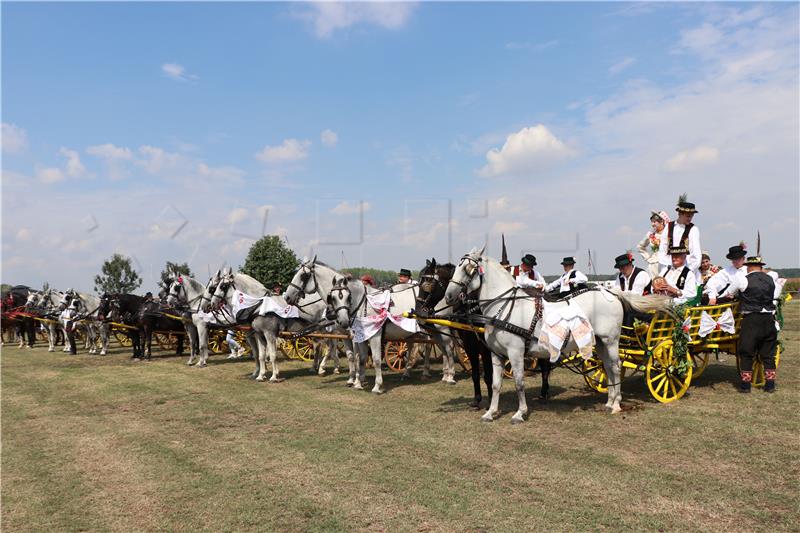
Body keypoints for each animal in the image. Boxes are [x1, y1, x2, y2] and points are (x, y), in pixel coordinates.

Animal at [444, 246, 676, 424]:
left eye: (468, 269)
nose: (448, 296)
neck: (506, 307)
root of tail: (610, 291)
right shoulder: (496, 354)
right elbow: (495, 383)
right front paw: (490, 413)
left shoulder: (516, 353)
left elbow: (519, 382)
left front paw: (520, 413)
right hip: (600, 342)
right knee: (608, 368)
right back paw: (609, 401)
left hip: (611, 341)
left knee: (617, 367)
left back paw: (617, 404)